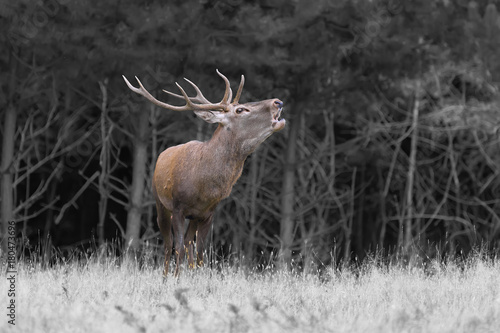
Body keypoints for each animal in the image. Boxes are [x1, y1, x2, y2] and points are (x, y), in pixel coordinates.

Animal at [122, 70, 286, 274]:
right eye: (240, 110)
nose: (278, 102)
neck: (204, 186)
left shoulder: (208, 213)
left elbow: (200, 252)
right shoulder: (178, 207)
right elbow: (177, 248)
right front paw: (175, 277)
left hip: (193, 216)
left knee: (189, 244)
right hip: (159, 202)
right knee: (168, 245)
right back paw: (165, 276)